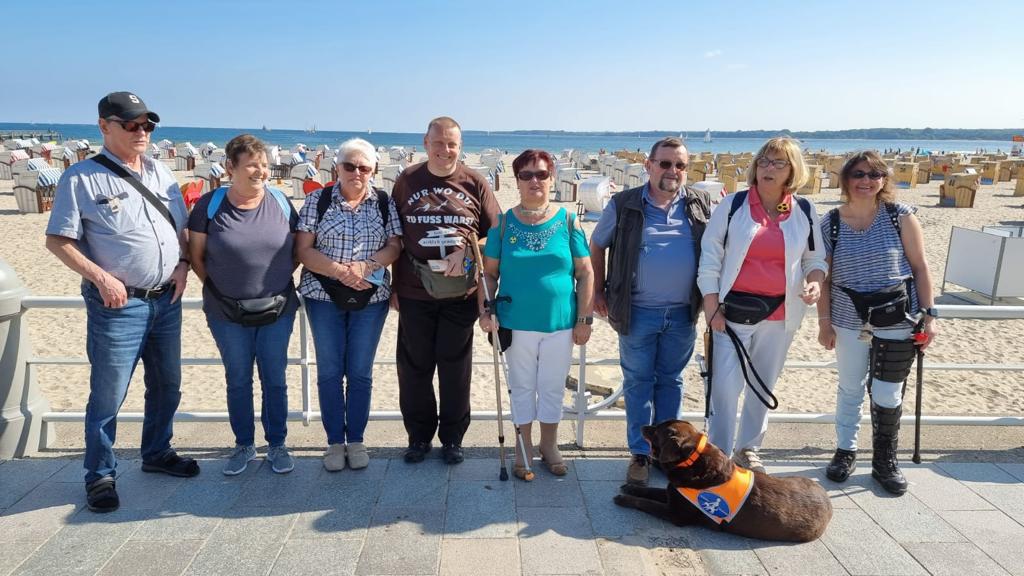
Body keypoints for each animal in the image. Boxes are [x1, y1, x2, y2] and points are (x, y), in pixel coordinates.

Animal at [610, 420, 827, 541]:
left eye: (656, 431)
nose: (643, 425)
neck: (693, 459)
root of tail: (827, 499)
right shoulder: (675, 491)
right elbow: (651, 491)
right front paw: (631, 487)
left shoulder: (675, 514)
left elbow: (645, 503)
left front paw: (623, 499)